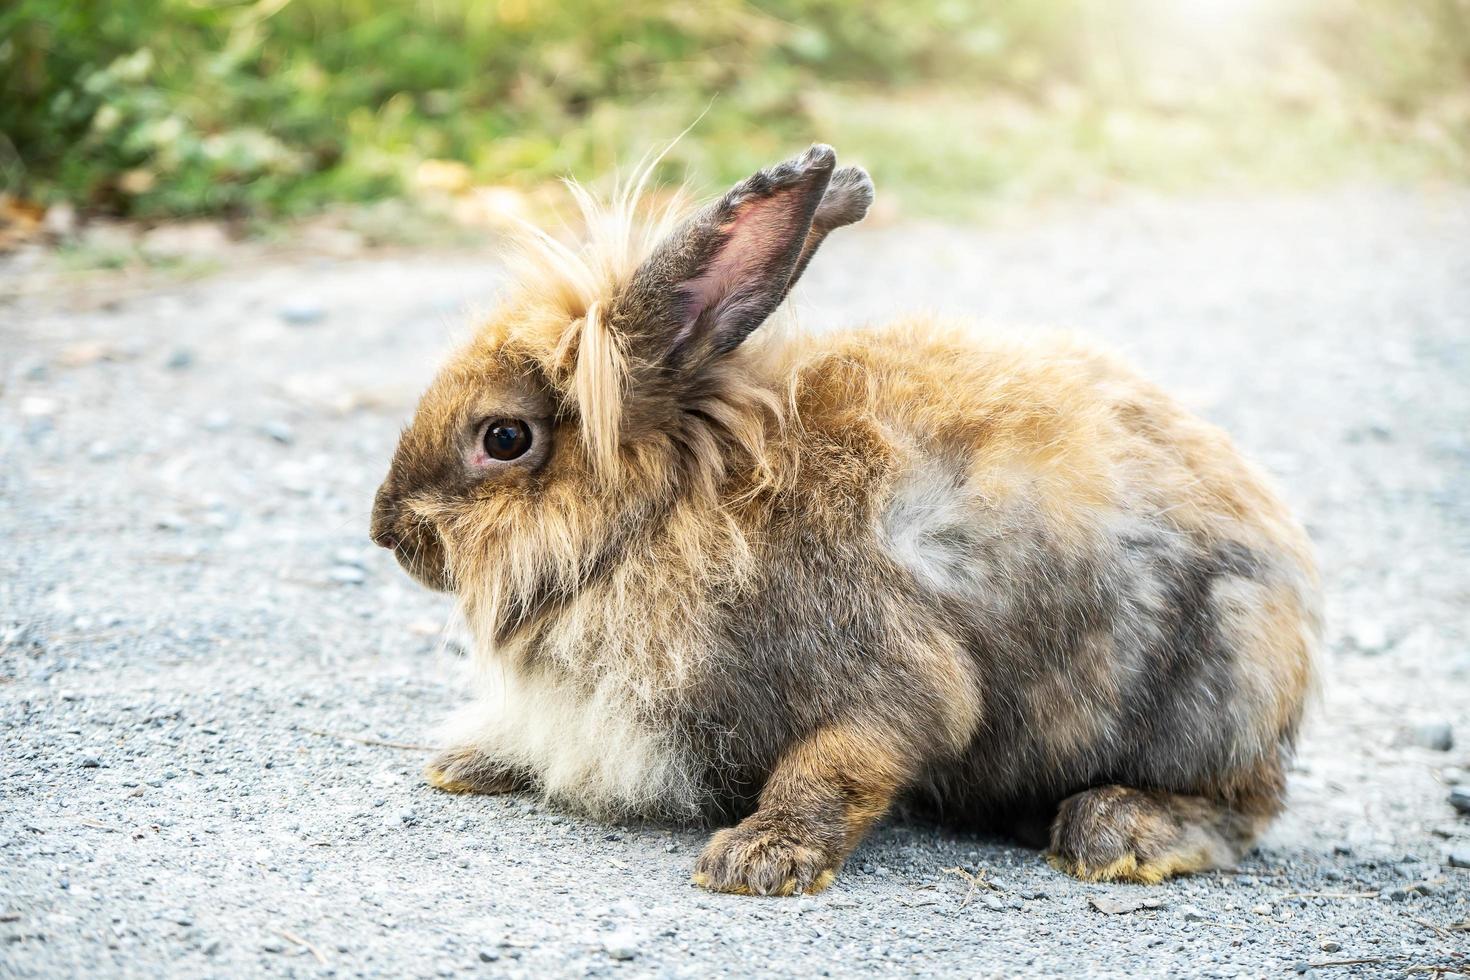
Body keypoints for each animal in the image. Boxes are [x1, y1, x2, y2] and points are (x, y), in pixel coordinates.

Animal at [367, 143, 1323, 899]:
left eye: (504, 438)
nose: (387, 532)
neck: (667, 513)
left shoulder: (891, 682)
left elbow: (838, 767)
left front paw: (757, 862)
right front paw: (471, 763)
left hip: (1219, 682)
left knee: (1243, 812)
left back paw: (1118, 832)